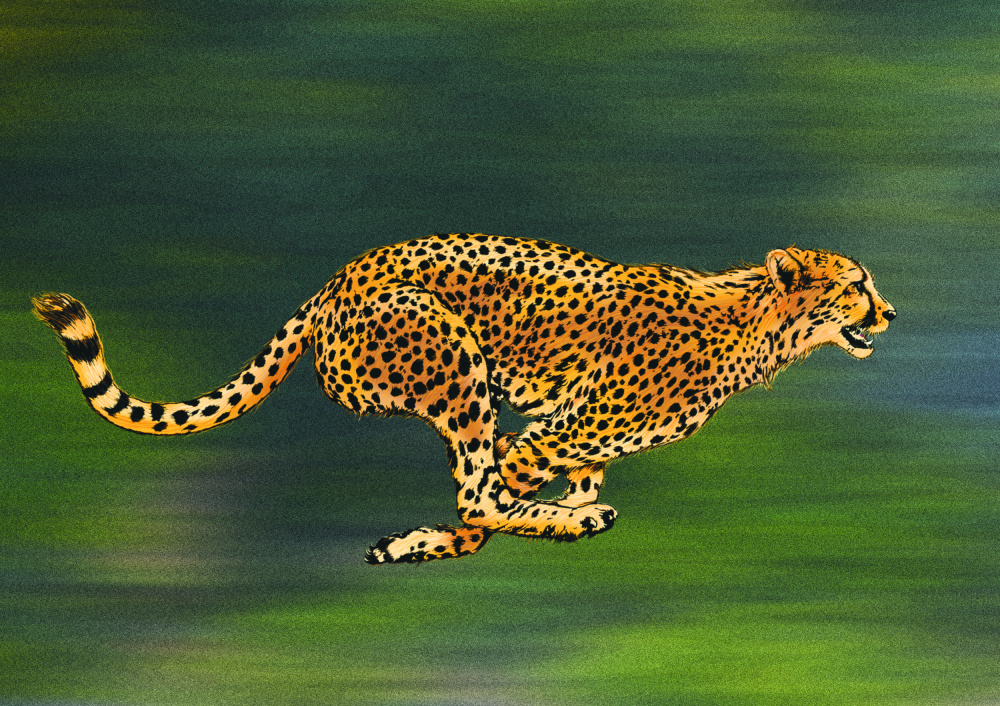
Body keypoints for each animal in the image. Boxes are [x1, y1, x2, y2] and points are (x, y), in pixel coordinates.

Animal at [33, 233, 895, 564]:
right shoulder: (544, 436)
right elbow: (487, 507)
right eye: (856, 285)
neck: (758, 326)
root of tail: (337, 278)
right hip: (453, 355)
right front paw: (553, 522)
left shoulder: (569, 441)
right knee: (476, 490)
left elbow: (534, 494)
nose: (889, 312)